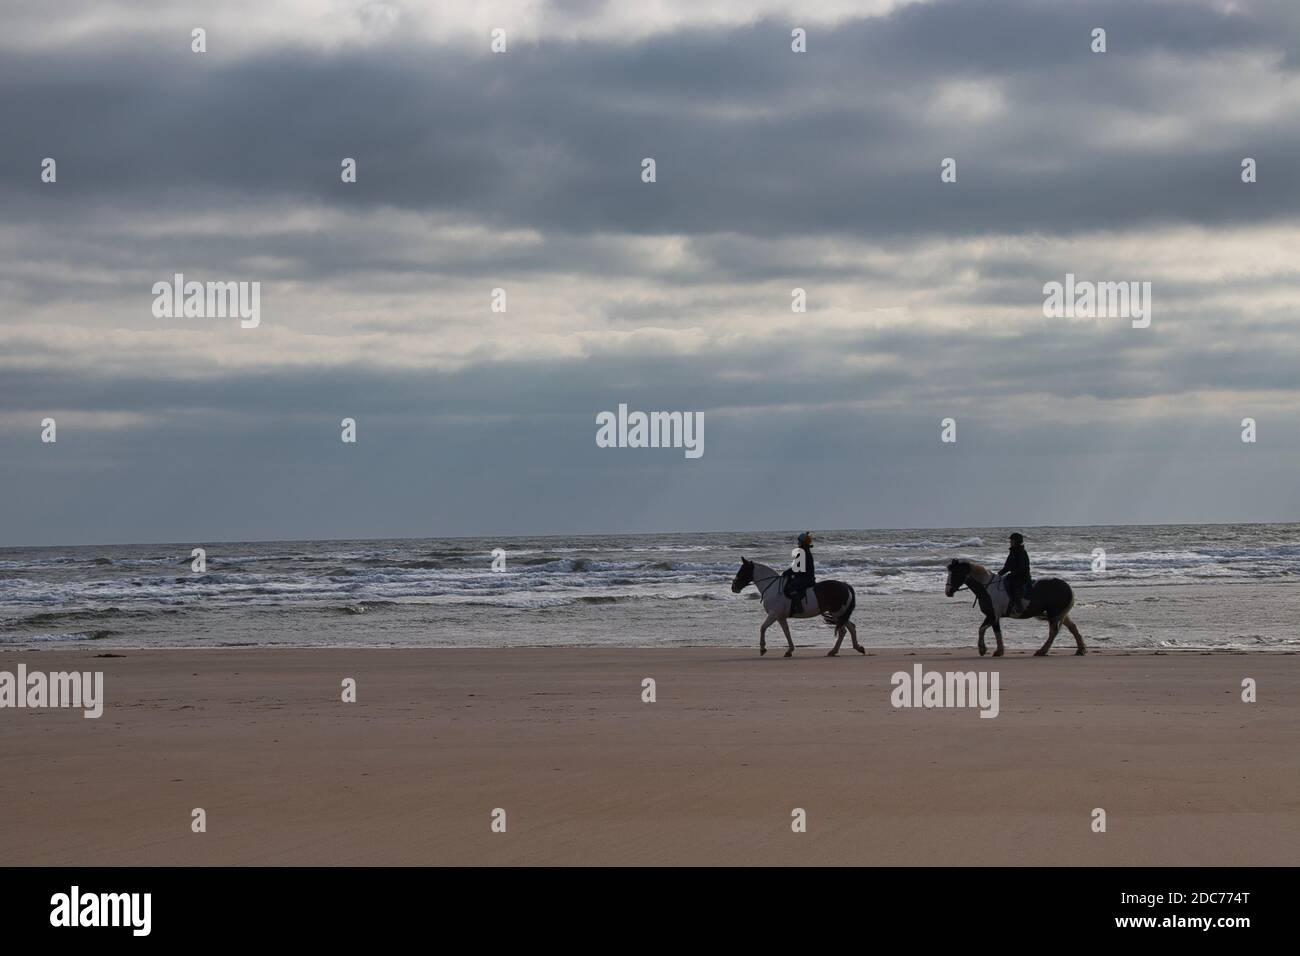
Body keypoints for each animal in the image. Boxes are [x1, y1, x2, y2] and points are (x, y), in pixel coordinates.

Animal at [733, 554, 863, 658]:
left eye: (742, 570)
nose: (733, 587)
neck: (772, 587)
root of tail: (845, 585)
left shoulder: (773, 614)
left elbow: (763, 627)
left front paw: (762, 648)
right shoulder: (780, 617)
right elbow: (786, 632)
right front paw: (789, 651)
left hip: (837, 613)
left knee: (845, 630)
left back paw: (839, 650)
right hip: (839, 614)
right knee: (849, 628)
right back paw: (851, 649)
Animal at [946, 561, 1086, 658]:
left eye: (955, 573)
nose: (948, 592)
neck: (987, 588)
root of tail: (1067, 587)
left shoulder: (992, 615)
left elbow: (981, 629)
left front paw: (983, 649)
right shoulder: (994, 617)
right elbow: (996, 632)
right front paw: (999, 651)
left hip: (1054, 614)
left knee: (1053, 632)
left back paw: (1042, 651)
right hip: (1059, 614)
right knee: (1072, 627)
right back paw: (1080, 650)